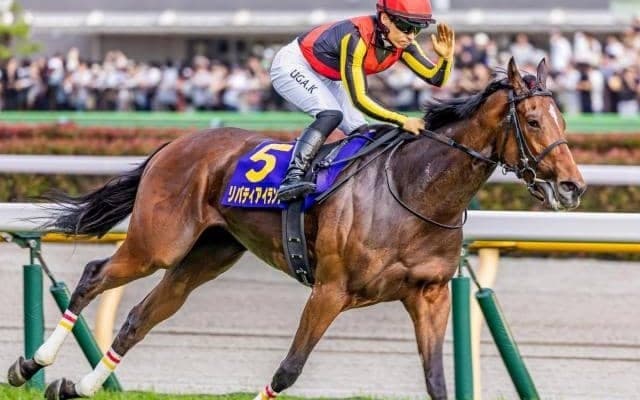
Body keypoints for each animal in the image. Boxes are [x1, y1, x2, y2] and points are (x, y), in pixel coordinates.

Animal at [8, 58, 585, 400]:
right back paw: (30, 365)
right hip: (160, 242)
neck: (412, 191)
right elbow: (288, 370)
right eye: (534, 121)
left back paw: (76, 386)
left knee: (140, 317)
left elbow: (437, 382)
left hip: (207, 255)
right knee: (93, 275)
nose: (573, 186)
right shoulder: (330, 290)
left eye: (564, 120)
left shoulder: (430, 294)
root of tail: (176, 142)